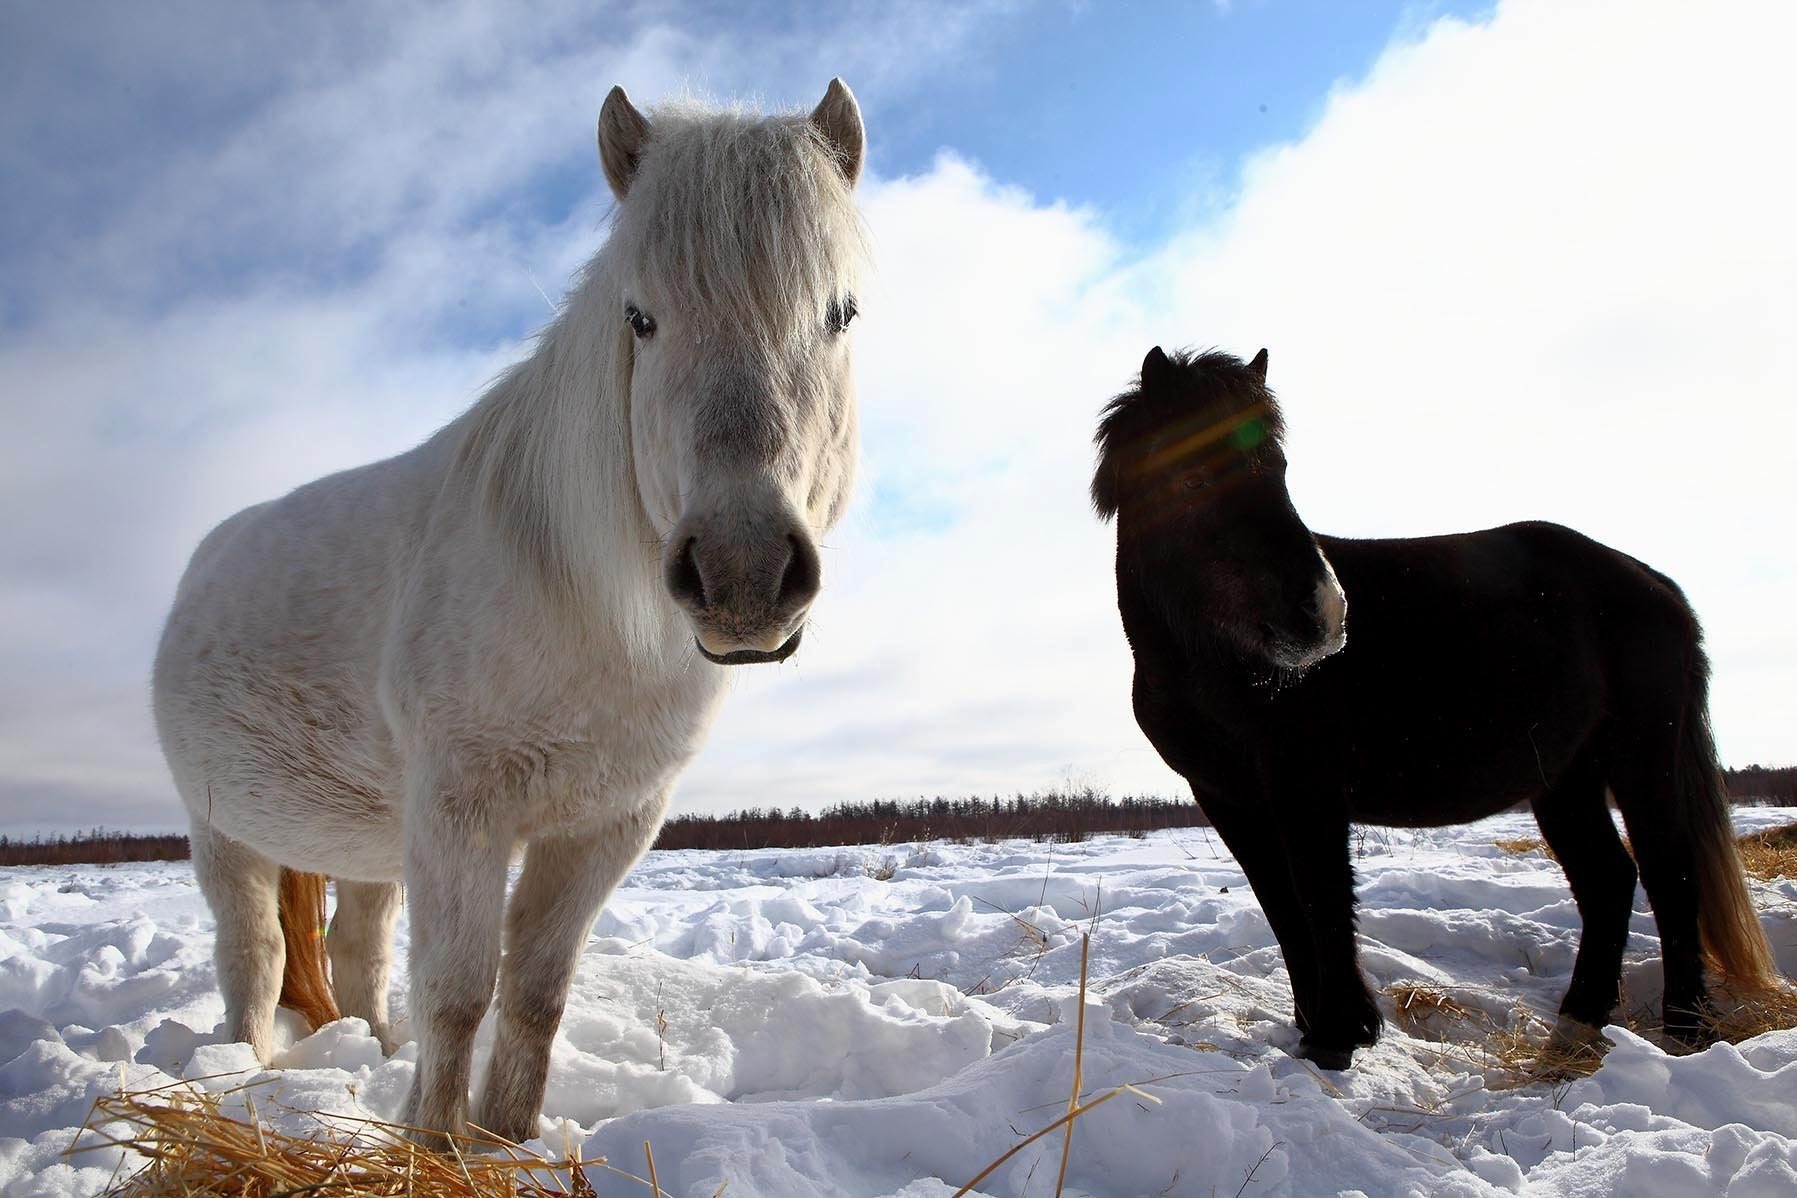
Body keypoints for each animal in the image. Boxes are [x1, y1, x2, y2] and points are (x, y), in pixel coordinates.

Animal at [150, 79, 866, 1149]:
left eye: (840, 313)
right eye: (640, 318)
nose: (742, 572)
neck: (580, 610)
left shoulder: (607, 825)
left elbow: (534, 993)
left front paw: (503, 1141)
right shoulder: (462, 813)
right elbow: (457, 993)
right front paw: (434, 1144)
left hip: (373, 846)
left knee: (357, 951)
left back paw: (374, 1052)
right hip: (222, 829)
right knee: (254, 955)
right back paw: (242, 1073)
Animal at [1085, 344, 1775, 1070]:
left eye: (1279, 472)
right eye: (1191, 478)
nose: (1324, 614)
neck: (1210, 660)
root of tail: (1656, 587)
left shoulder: (1306, 785)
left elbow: (1322, 897)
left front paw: (1340, 1035)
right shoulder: (1226, 795)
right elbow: (1282, 907)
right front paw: (1315, 1031)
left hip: (1641, 759)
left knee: (1670, 877)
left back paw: (1683, 1033)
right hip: (1565, 777)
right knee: (1609, 881)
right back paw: (1575, 1030)